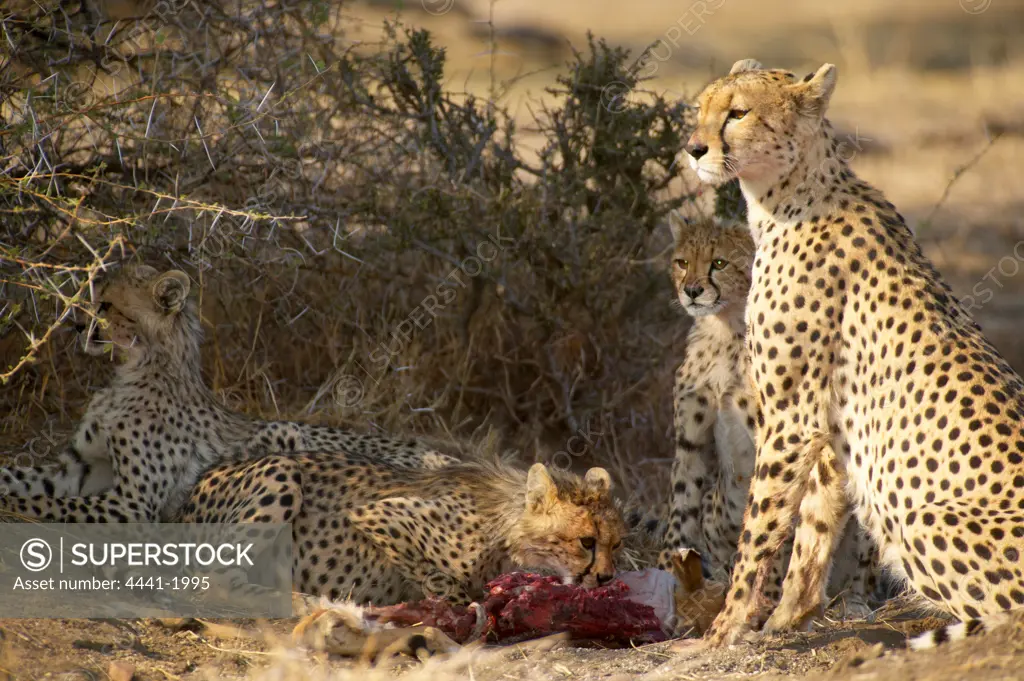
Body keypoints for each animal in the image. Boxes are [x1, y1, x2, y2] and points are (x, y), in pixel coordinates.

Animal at [0, 266, 452, 520]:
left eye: (107, 305)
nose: (76, 325)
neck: (137, 369)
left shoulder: (132, 504)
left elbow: (45, 505)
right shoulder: (76, 468)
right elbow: (17, 478)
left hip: (285, 434)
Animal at [663, 209, 880, 614]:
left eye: (719, 263)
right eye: (682, 262)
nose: (692, 291)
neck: (725, 331)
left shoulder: (784, 437)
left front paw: (764, 596)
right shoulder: (690, 436)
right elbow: (682, 503)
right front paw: (668, 571)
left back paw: (852, 602)